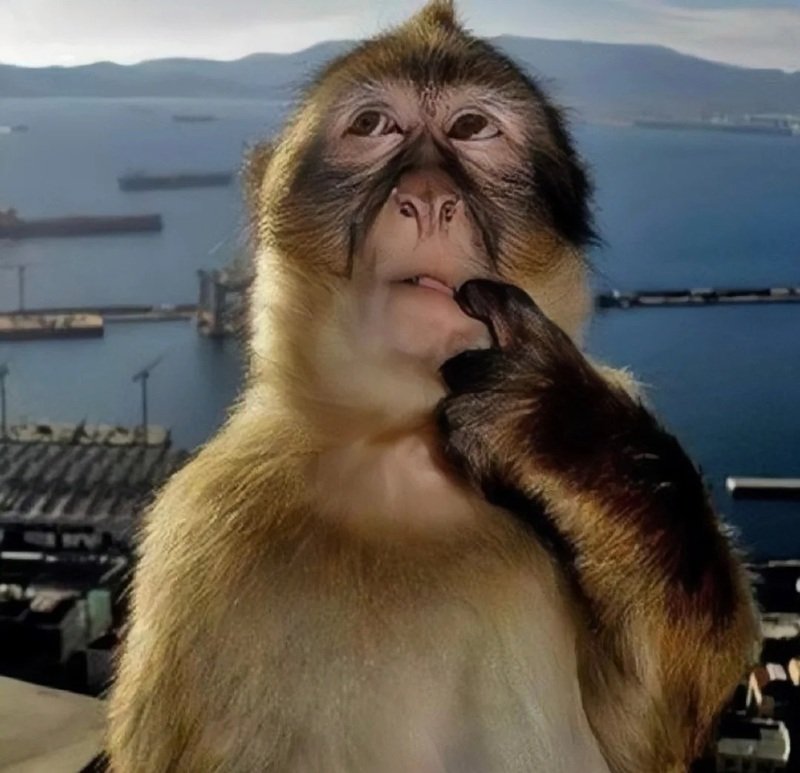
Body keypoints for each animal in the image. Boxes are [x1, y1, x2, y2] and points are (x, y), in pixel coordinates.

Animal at [107, 2, 759, 771]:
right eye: (373, 126)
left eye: (472, 128)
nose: (426, 197)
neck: (401, 455)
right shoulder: (200, 537)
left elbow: (646, 738)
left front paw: (556, 423)